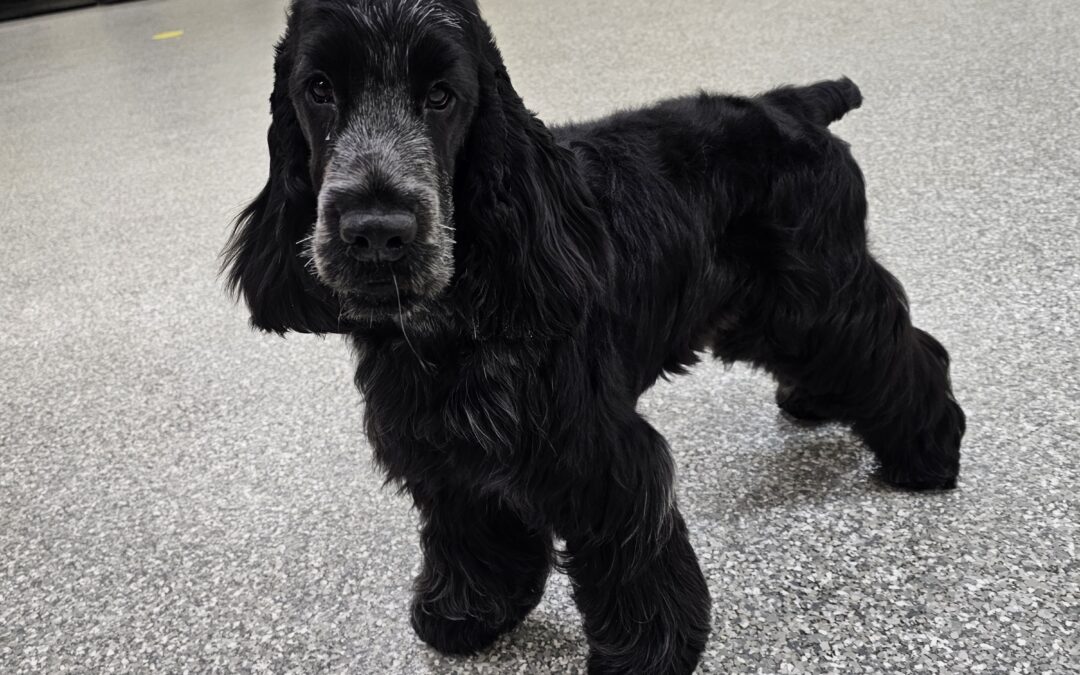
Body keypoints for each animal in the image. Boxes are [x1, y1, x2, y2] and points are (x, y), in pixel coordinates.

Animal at [223, 2, 967, 669]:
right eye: (319, 89)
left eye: (442, 95)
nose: (377, 232)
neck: (455, 316)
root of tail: (793, 104)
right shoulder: (442, 445)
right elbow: (470, 527)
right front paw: (468, 612)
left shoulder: (592, 445)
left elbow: (629, 546)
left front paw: (650, 650)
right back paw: (816, 400)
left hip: (819, 294)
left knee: (908, 351)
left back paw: (930, 452)